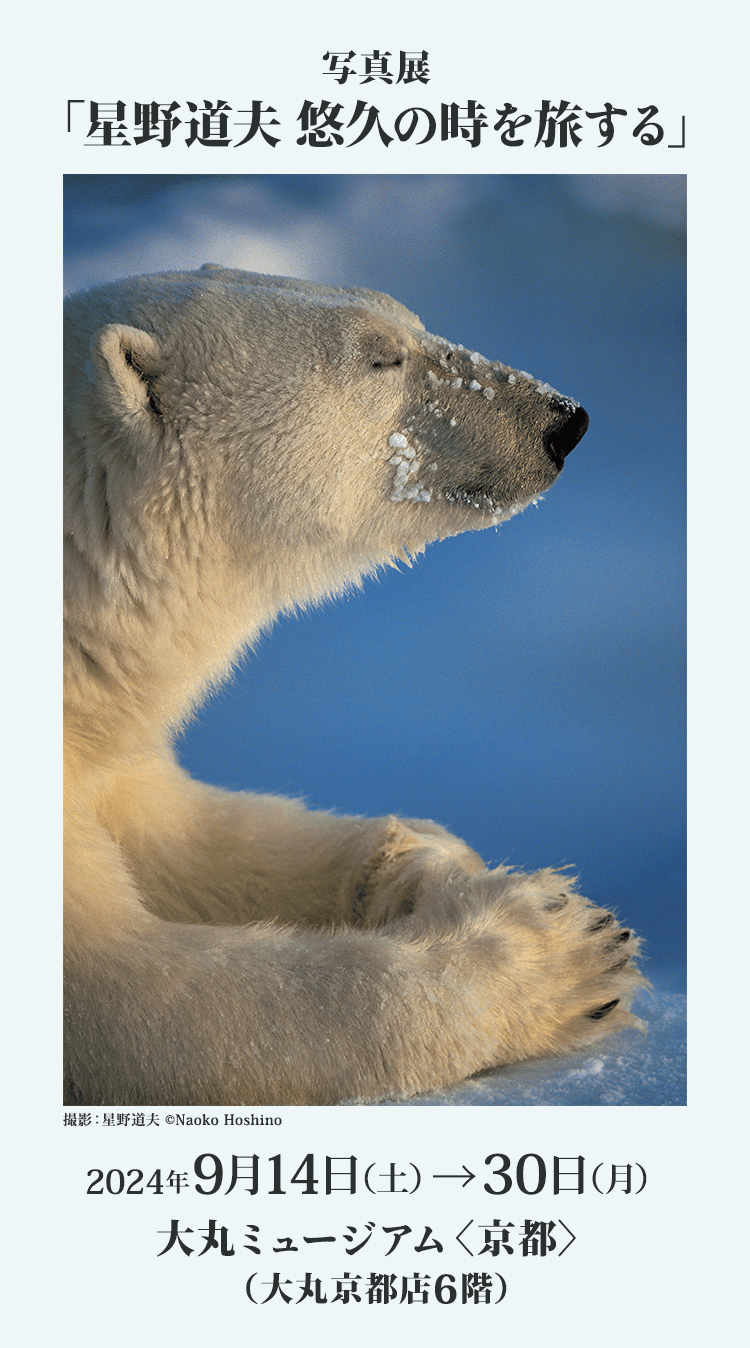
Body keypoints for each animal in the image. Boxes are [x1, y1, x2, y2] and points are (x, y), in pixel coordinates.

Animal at [63, 265, 644, 1105]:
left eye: (408, 321)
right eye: (379, 358)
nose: (562, 421)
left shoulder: (107, 741)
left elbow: (193, 834)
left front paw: (426, 865)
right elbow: (145, 1000)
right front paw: (562, 950)